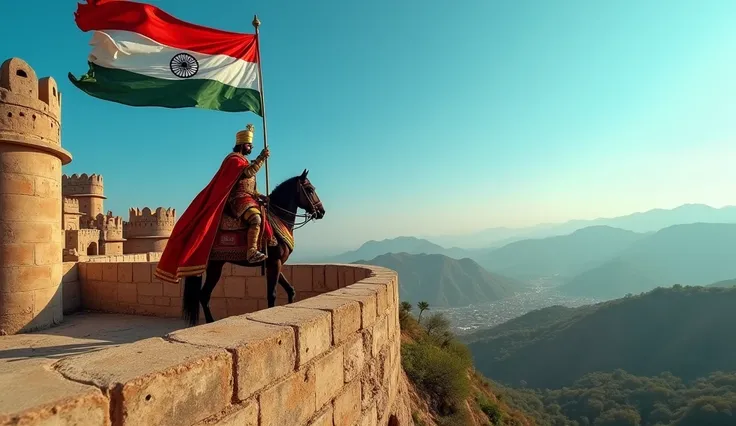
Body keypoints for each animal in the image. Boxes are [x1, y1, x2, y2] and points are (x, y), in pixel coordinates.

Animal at [181, 170, 322, 326]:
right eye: (310, 189)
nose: (322, 211)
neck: (279, 218)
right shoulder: (275, 263)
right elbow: (271, 295)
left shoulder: (275, 264)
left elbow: (290, 290)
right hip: (214, 267)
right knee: (204, 295)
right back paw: (210, 322)